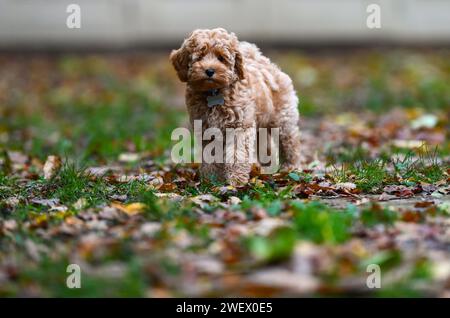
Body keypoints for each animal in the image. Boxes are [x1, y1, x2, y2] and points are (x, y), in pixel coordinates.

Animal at [171, 29, 300, 186]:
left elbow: (237, 153)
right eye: (199, 57)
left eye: (221, 58)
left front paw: (236, 180)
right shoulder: (207, 129)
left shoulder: (239, 126)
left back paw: (290, 167)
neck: (214, 92)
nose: (209, 71)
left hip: (283, 118)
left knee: (289, 141)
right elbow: (211, 154)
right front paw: (211, 179)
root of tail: (264, 62)